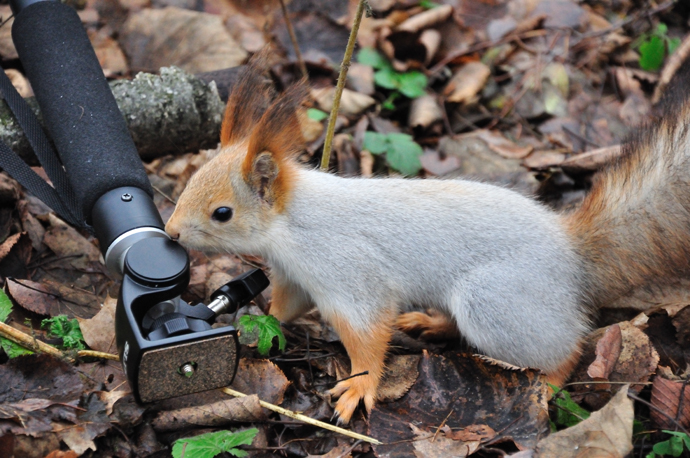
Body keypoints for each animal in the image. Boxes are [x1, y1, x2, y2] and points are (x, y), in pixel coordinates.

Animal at [165, 56, 690, 422]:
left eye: (222, 213)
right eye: (190, 181)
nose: (171, 231)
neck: (293, 223)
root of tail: (572, 255)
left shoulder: (347, 271)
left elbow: (366, 332)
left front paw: (359, 387)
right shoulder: (296, 274)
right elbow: (286, 307)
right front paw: (255, 324)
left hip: (497, 301)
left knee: (566, 349)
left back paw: (550, 383)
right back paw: (429, 324)